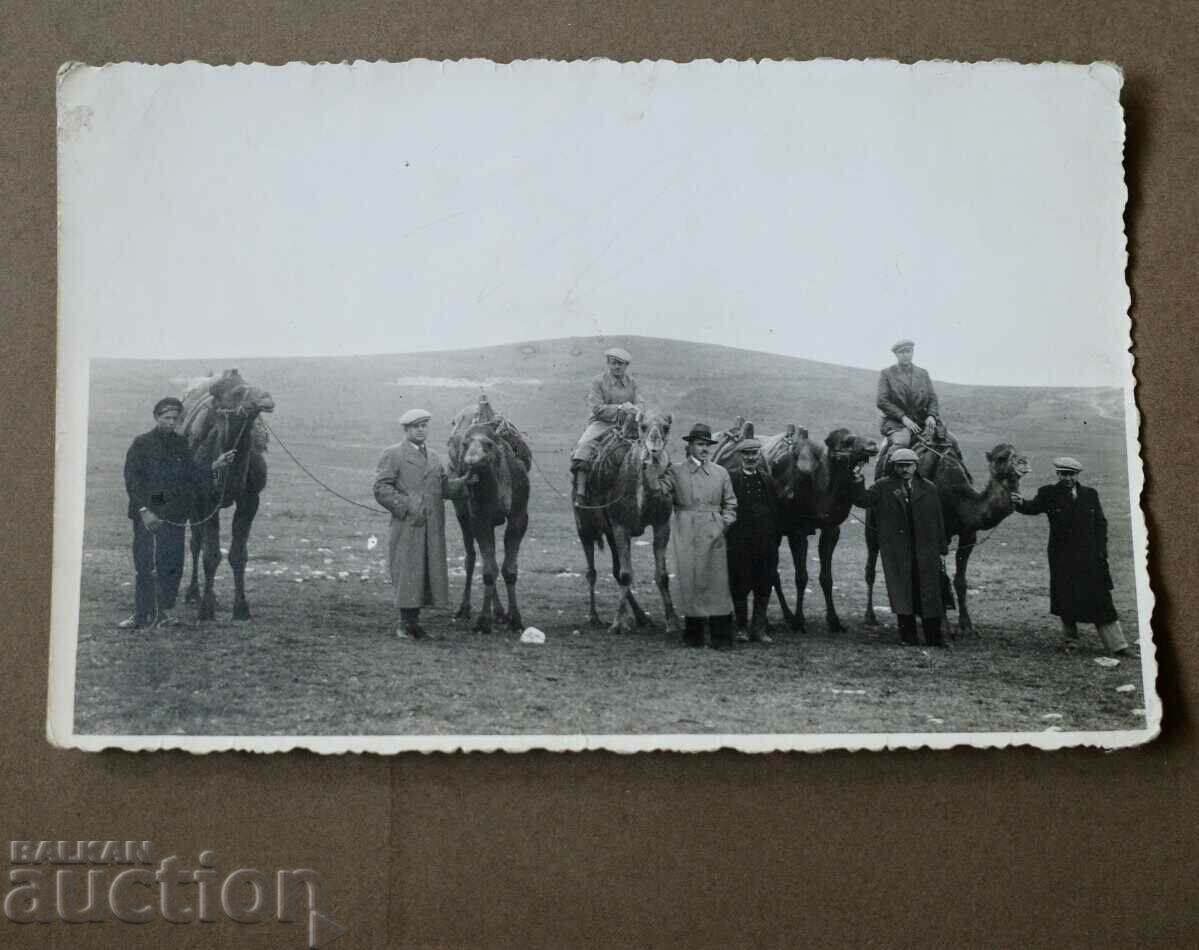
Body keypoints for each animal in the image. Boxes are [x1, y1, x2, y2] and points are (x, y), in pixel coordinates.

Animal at [179, 367, 275, 618]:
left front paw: (241, 608)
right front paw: (206, 610)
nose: (267, 399)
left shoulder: (250, 499)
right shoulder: (205, 499)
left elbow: (238, 554)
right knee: (196, 543)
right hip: (192, 502)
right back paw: (194, 593)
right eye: (238, 391)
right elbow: (211, 554)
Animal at [446, 398, 529, 633]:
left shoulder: (520, 515)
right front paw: (483, 621)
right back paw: (465, 609)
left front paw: (515, 618)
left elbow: (508, 569)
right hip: (462, 512)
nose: (471, 460)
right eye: (465, 444)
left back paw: (500, 612)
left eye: (489, 444)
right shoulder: (479, 518)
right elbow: (489, 569)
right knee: (473, 557)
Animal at [570, 405, 676, 633]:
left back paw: (642, 618)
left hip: (609, 531)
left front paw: (672, 621)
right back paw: (594, 617)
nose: (654, 450)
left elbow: (662, 575)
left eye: (666, 427)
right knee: (592, 570)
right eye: (643, 426)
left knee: (616, 569)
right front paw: (618, 624)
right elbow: (626, 574)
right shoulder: (620, 525)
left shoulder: (662, 523)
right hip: (585, 525)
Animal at [714, 422, 887, 628]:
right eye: (847, 441)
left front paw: (833, 620)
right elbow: (801, 577)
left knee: (769, 571)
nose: (872, 445)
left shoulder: (831, 529)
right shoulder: (797, 531)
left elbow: (826, 578)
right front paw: (799, 620)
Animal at [863, 439, 1031, 633]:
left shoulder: (968, 536)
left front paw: (966, 625)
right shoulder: (932, 532)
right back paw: (870, 617)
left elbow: (960, 581)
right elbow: (936, 577)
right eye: (1001, 458)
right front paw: (942, 624)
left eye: (1018, 452)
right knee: (871, 566)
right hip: (873, 522)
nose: (1023, 462)